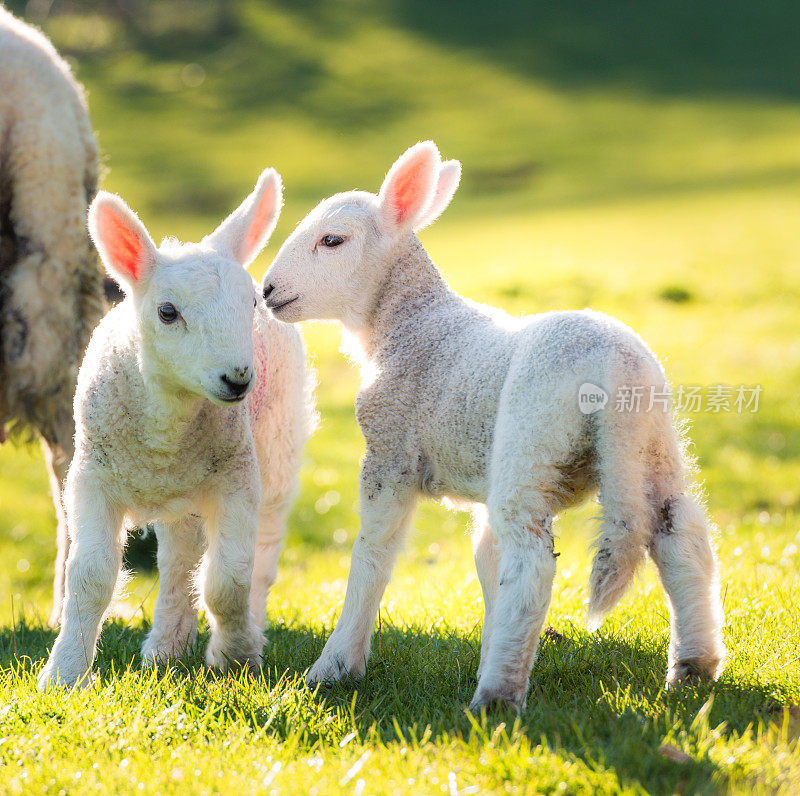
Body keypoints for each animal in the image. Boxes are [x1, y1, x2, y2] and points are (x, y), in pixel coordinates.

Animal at [38, 169, 312, 692]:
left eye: (250, 303)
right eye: (168, 312)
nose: (238, 379)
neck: (166, 429)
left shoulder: (236, 477)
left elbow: (229, 579)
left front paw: (235, 656)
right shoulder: (91, 478)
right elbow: (90, 578)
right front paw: (64, 674)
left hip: (276, 450)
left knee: (259, 555)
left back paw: (244, 631)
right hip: (181, 493)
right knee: (178, 558)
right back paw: (166, 647)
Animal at [260, 141, 724, 708]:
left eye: (333, 240)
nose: (268, 290)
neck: (410, 324)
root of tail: (614, 369)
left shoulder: (389, 452)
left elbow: (373, 556)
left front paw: (335, 667)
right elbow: (487, 564)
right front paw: (486, 645)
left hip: (531, 441)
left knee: (532, 563)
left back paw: (497, 697)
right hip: (652, 443)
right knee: (681, 536)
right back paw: (693, 669)